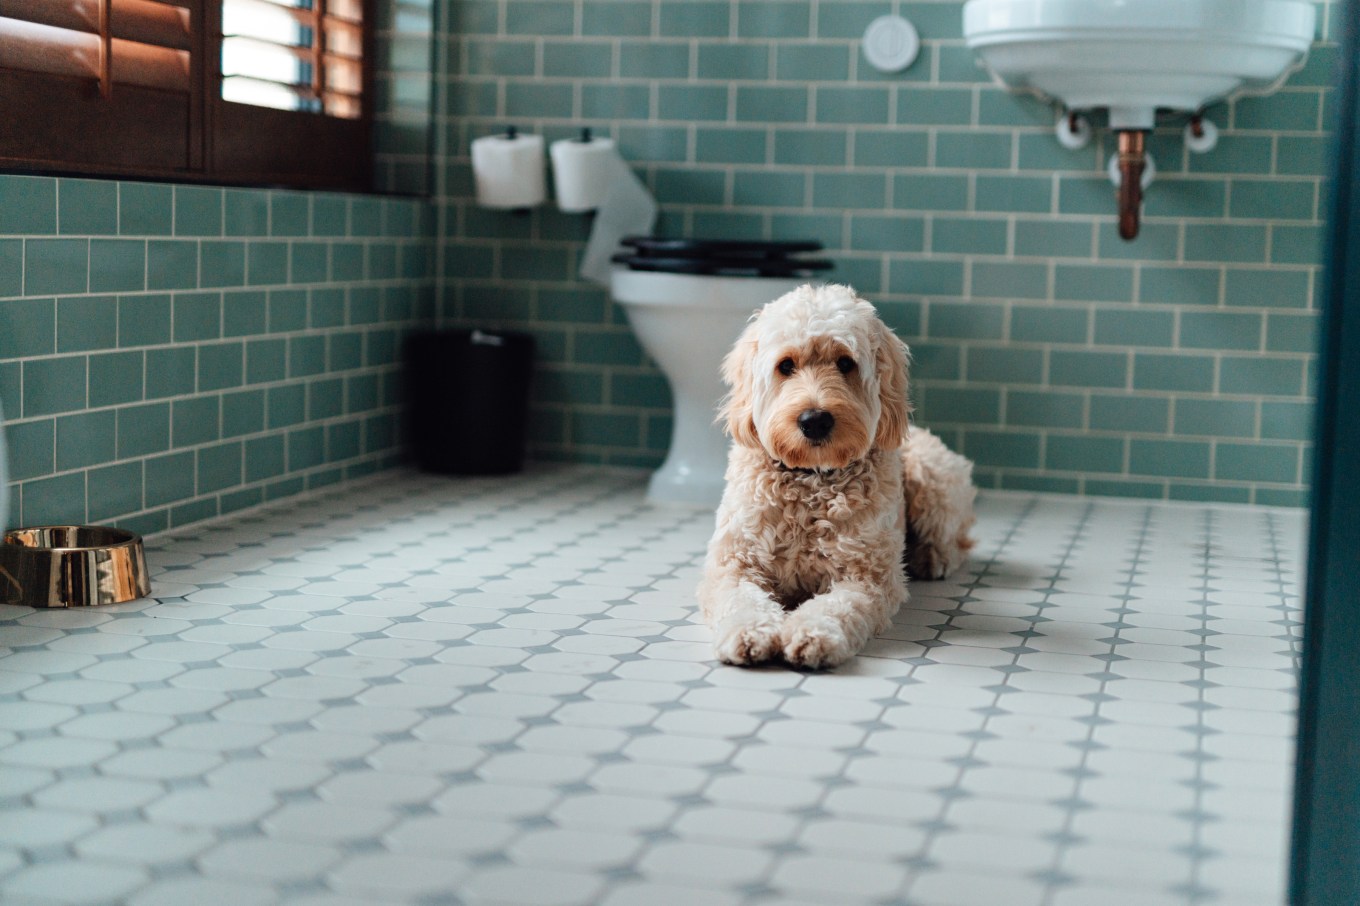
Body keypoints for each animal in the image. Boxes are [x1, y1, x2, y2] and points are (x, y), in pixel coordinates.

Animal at [701, 282, 979, 669]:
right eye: (785, 365)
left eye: (845, 362)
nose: (814, 420)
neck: (811, 481)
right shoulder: (734, 565)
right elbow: (740, 601)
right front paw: (749, 632)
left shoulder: (866, 577)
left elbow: (837, 607)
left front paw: (812, 635)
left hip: (932, 477)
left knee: (958, 540)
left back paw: (931, 558)